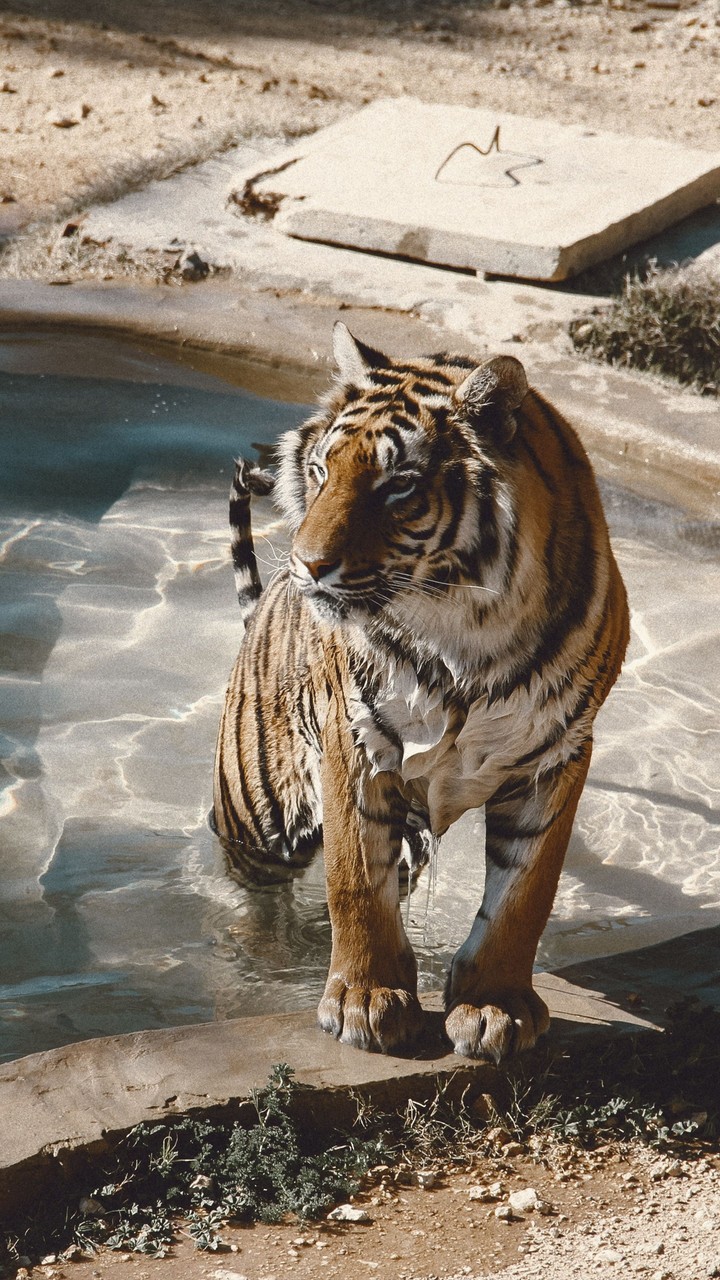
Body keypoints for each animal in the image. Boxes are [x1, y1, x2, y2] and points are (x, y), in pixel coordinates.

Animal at [212, 322, 629, 1062]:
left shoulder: (557, 755)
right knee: (248, 889)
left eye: (398, 486)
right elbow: (355, 881)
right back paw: (258, 954)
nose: (306, 565)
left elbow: (525, 894)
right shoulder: (355, 741)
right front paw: (364, 1001)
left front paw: (494, 1005)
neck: (468, 632)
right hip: (257, 815)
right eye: (322, 471)